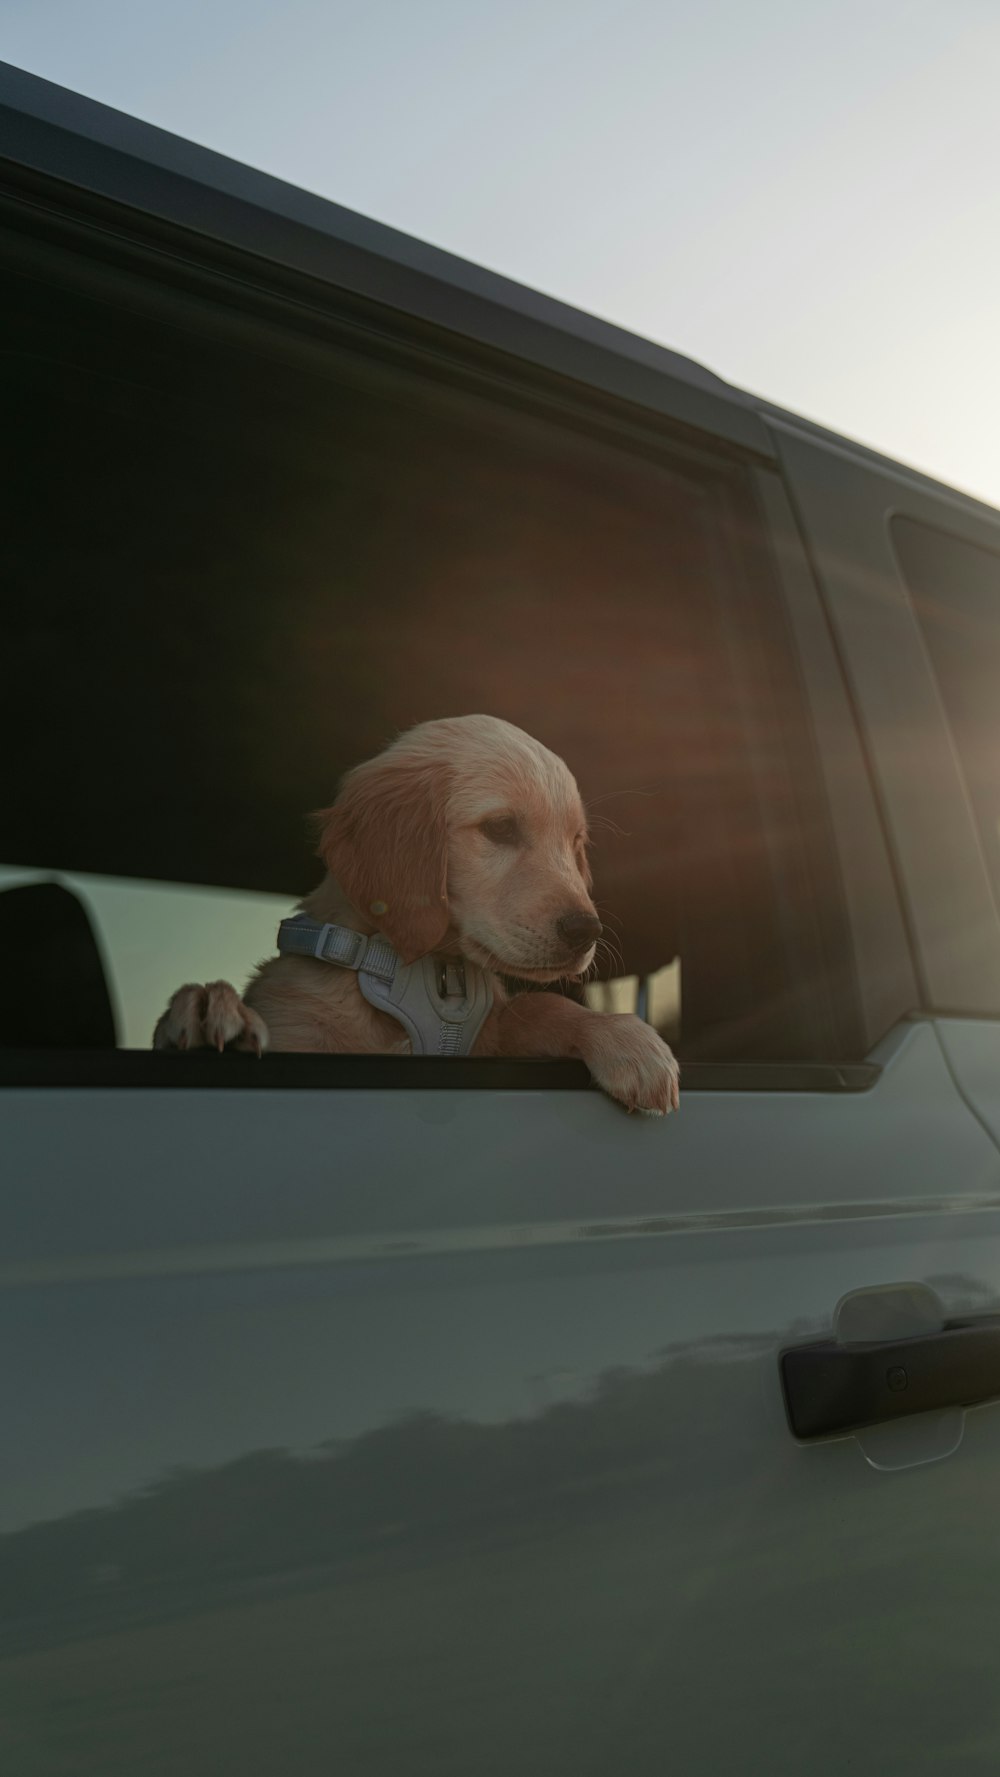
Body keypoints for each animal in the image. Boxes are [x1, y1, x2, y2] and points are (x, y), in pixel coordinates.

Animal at [154, 710, 682, 1108]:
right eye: (500, 828)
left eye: (575, 844)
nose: (587, 931)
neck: (431, 968)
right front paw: (207, 1006)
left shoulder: (486, 1037)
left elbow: (540, 1004)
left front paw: (626, 1039)